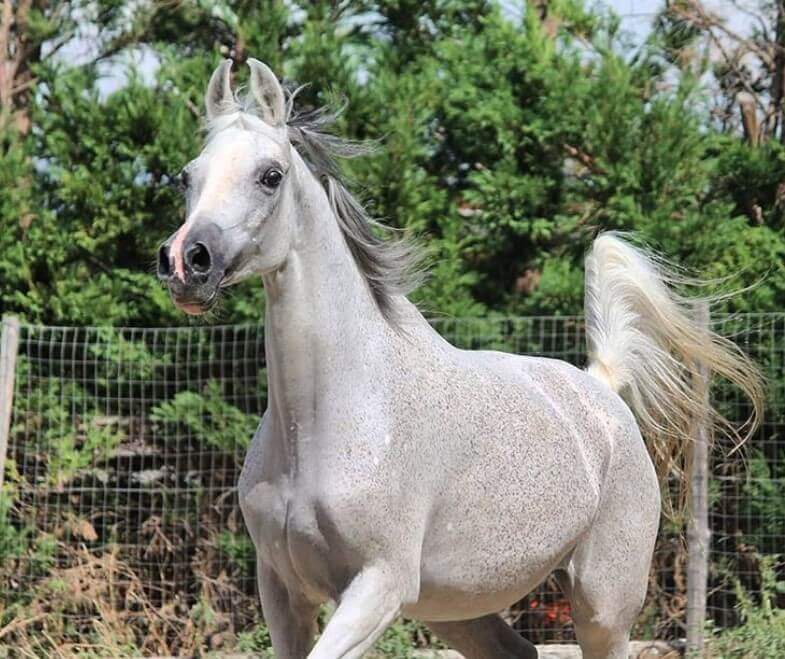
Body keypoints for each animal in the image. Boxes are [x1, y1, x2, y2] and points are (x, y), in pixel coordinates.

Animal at [156, 59, 764, 659]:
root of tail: (601, 389)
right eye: (188, 176)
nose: (186, 261)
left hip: (604, 604)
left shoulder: (378, 586)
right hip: (456, 608)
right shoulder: (282, 591)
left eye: (270, 175)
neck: (324, 421)